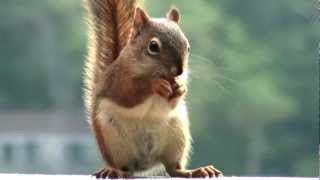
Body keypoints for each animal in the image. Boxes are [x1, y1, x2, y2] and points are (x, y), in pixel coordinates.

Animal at [83, 0, 222, 178]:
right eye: (153, 46)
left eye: (188, 46)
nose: (179, 70)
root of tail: (144, 164)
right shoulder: (118, 81)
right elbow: (129, 93)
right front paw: (156, 84)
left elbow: (173, 102)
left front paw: (180, 87)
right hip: (113, 140)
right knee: (125, 167)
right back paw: (114, 170)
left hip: (176, 136)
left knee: (173, 169)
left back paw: (195, 171)